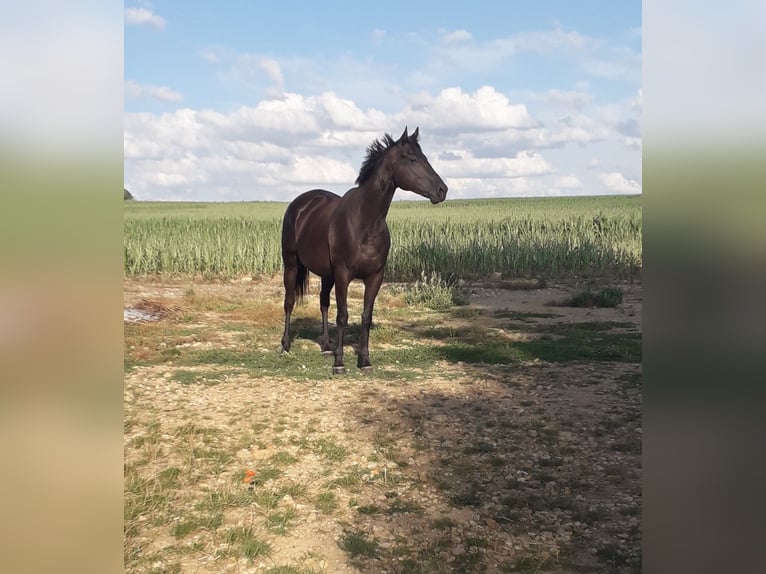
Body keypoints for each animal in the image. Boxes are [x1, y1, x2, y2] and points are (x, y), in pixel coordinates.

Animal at [280, 126, 450, 376]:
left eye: (425, 158)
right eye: (412, 159)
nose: (442, 190)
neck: (365, 222)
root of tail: (300, 204)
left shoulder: (375, 276)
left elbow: (366, 317)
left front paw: (365, 361)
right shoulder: (343, 274)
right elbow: (342, 316)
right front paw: (340, 363)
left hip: (327, 274)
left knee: (323, 303)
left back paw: (326, 346)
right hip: (292, 264)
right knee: (290, 302)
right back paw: (285, 346)